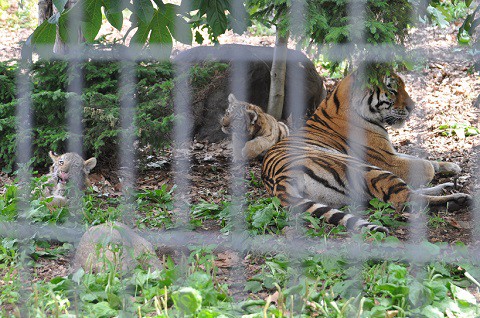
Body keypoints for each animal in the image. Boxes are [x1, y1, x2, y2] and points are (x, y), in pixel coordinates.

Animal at [260, 71, 470, 232]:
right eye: (392, 90)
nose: (412, 107)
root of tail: (279, 179)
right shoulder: (385, 159)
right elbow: (426, 167)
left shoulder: (390, 153)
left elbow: (423, 160)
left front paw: (452, 166)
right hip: (364, 167)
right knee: (403, 199)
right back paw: (458, 199)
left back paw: (447, 186)